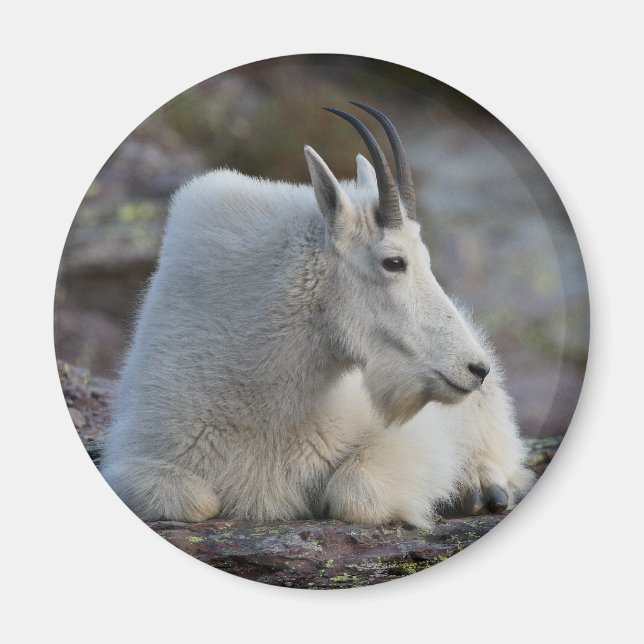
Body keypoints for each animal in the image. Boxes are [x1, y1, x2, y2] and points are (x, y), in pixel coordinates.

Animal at [100, 102, 534, 528]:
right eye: (394, 262)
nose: (475, 368)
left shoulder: (412, 439)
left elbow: (354, 493)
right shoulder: (135, 457)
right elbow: (196, 500)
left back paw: (481, 487)